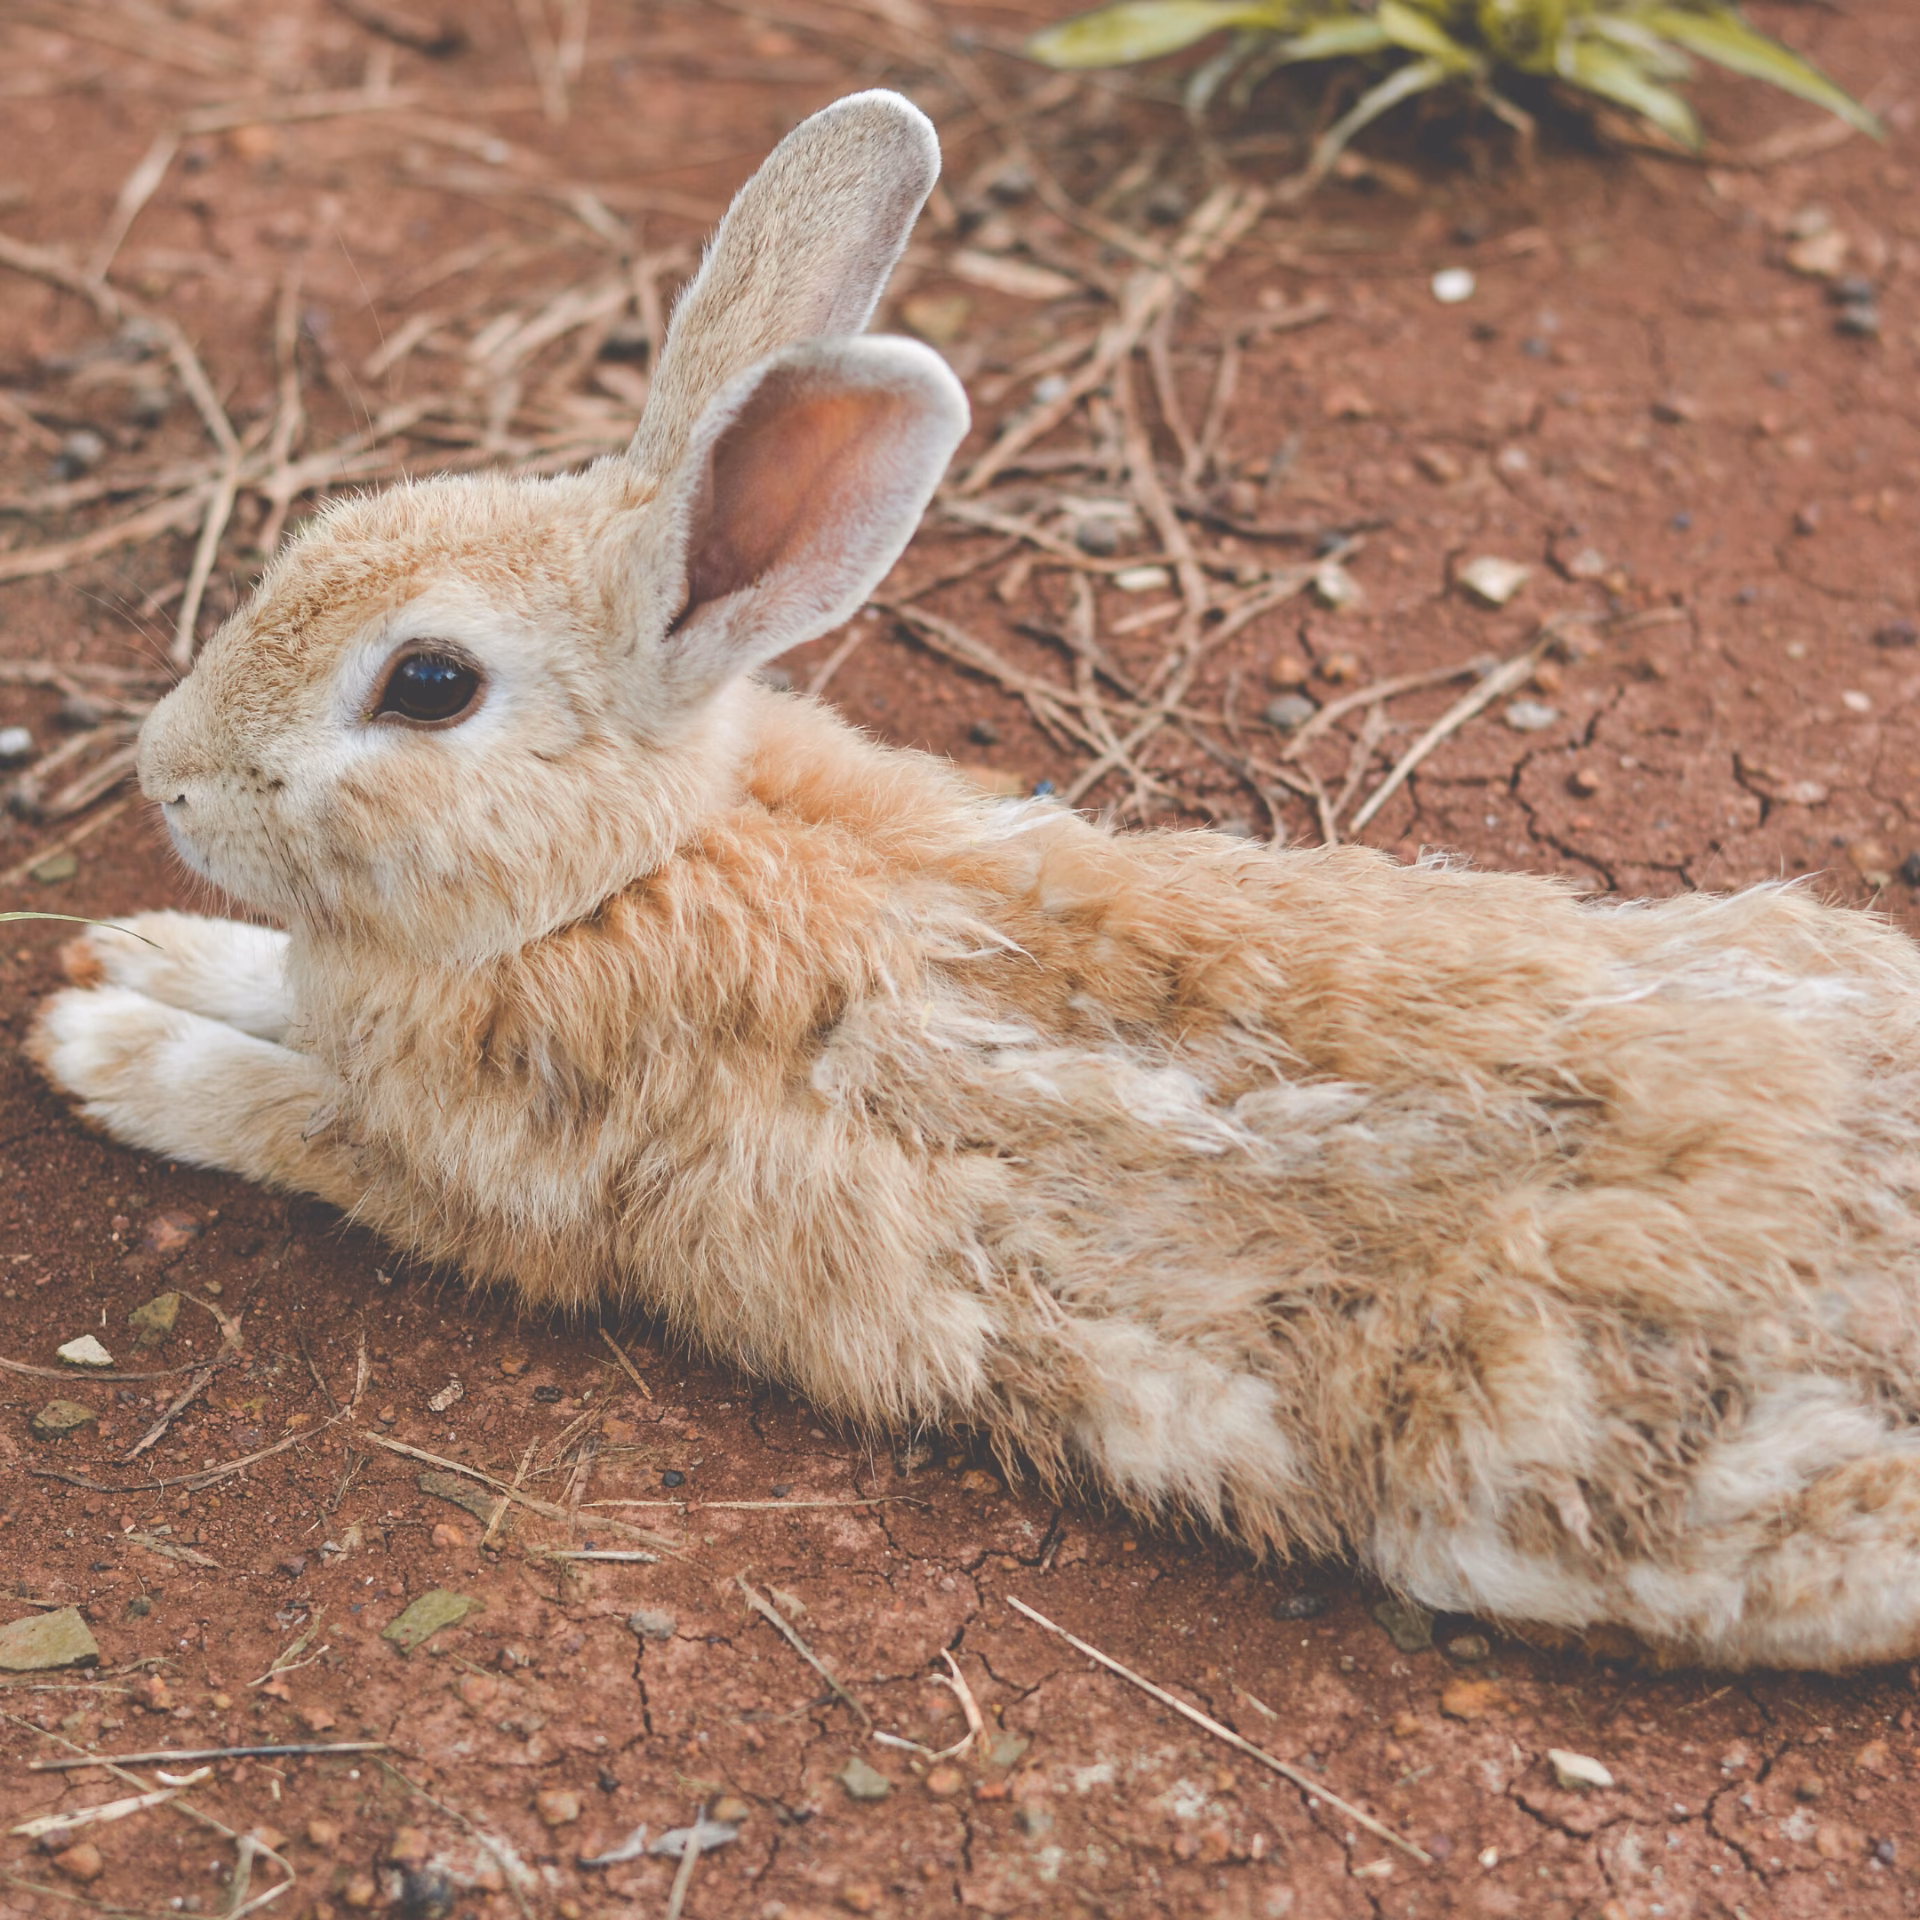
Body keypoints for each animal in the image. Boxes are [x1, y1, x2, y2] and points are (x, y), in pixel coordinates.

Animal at [27, 89, 1920, 1674]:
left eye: (428, 687)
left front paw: (99, 1050)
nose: (165, 773)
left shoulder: (464, 1181)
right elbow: (267, 983)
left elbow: (269, 1108)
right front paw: (124, 951)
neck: (626, 865)